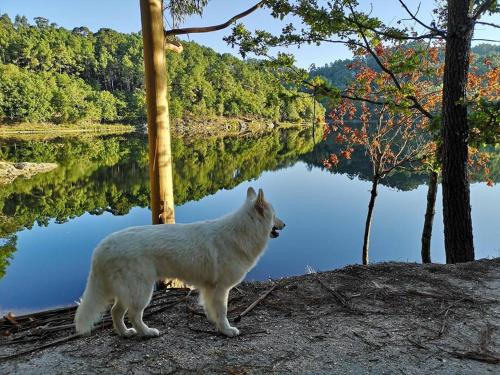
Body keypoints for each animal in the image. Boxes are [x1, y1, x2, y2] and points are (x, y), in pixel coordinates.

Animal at [74, 188, 286, 338]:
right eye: (275, 214)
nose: (284, 224)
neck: (242, 232)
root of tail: (102, 247)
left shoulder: (210, 289)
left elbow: (213, 311)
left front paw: (217, 326)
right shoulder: (220, 289)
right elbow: (223, 311)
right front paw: (227, 330)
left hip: (128, 290)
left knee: (116, 312)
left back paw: (125, 333)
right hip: (141, 290)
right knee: (133, 315)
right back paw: (147, 332)